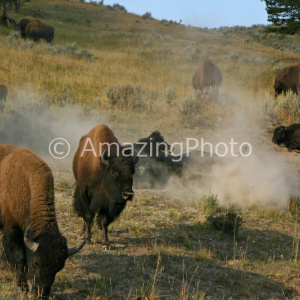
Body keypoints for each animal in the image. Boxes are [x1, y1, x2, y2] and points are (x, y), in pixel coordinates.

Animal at [0, 145, 85, 298]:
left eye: (59, 267)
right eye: (36, 263)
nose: (42, 293)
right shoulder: (11, 228)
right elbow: (19, 256)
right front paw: (22, 286)